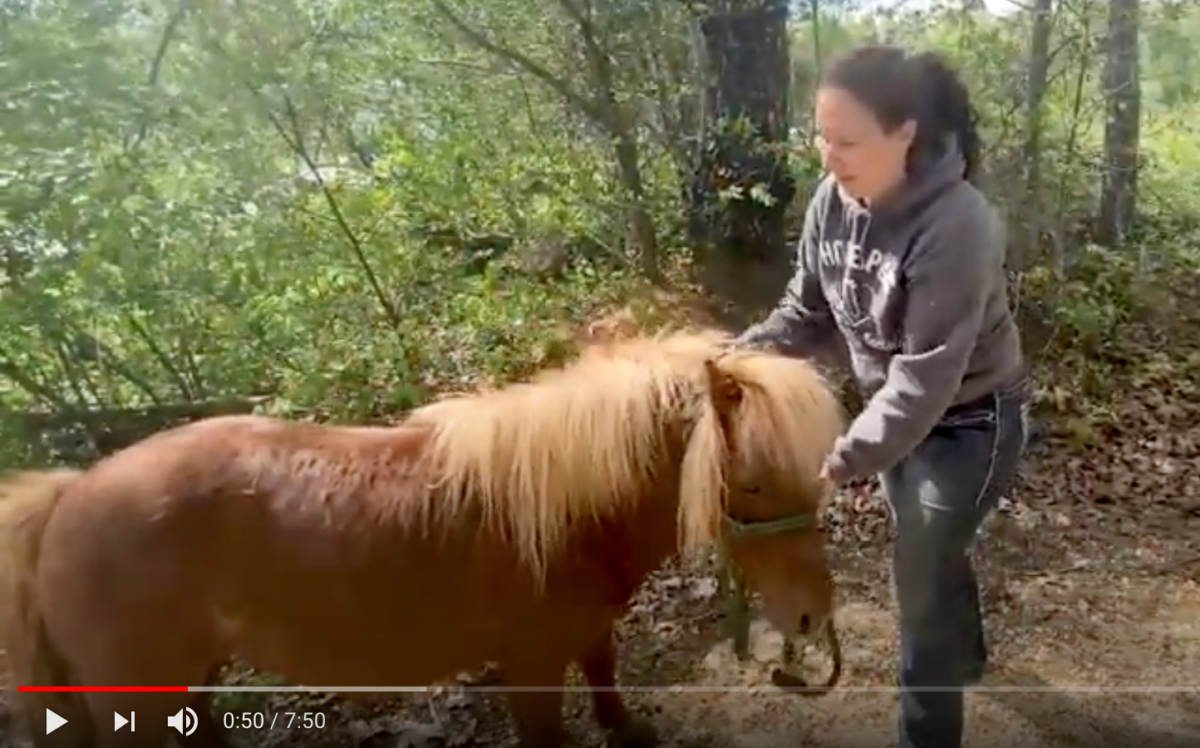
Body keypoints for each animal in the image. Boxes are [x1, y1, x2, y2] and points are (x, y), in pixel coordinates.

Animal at [0, 330, 845, 748]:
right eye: (752, 483)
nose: (811, 615)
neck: (564, 512)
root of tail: (69, 494)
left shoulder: (585, 637)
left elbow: (606, 677)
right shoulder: (529, 669)